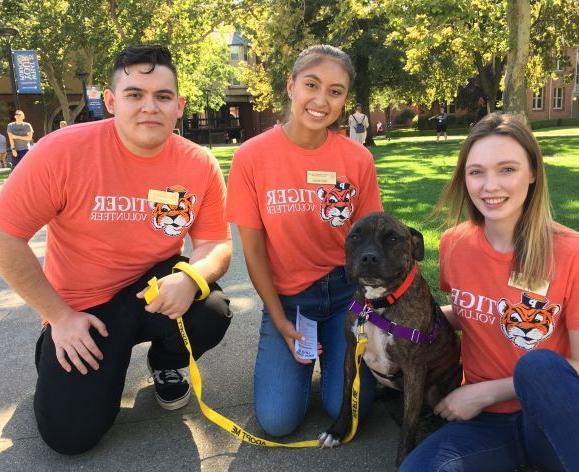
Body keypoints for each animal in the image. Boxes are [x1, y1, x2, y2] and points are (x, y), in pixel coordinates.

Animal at [320, 213, 460, 464]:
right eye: (355, 236)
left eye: (393, 238)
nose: (368, 257)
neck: (378, 305)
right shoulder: (351, 352)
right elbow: (346, 396)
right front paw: (336, 431)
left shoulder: (414, 370)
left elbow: (409, 423)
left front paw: (404, 456)